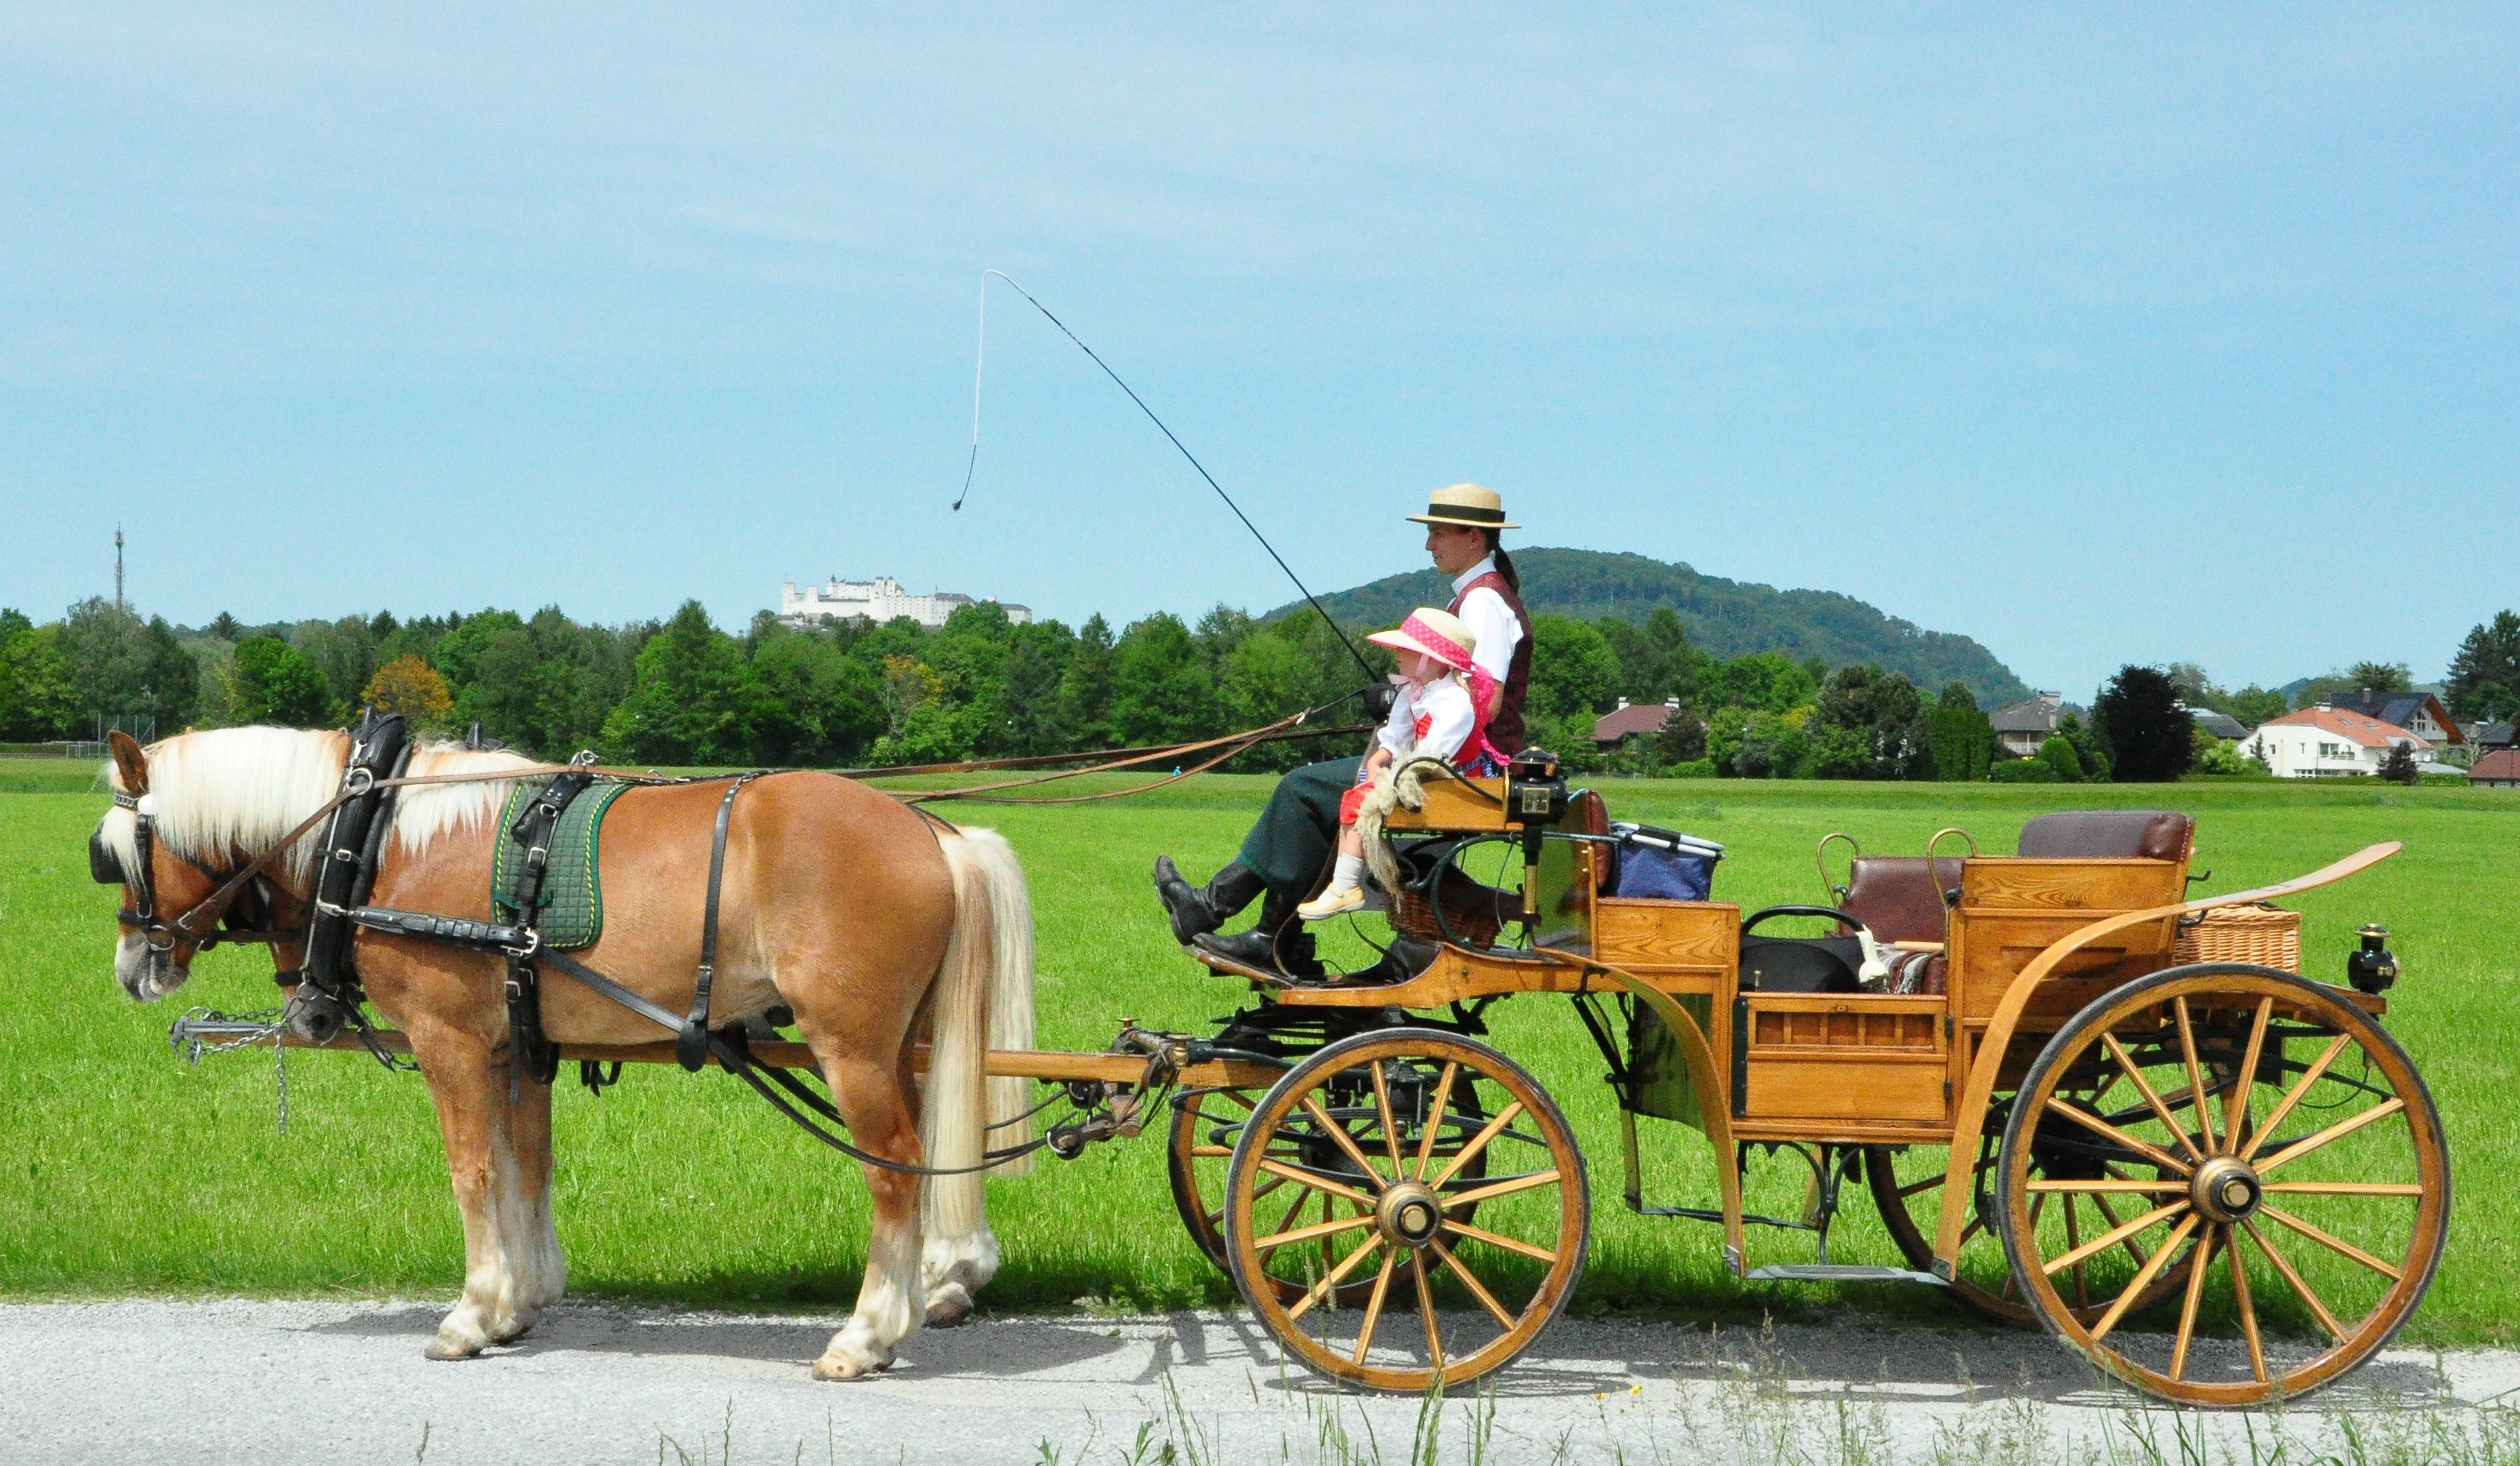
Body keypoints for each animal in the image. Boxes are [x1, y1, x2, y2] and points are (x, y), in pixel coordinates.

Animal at [89, 730, 1033, 1380]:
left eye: (123, 853)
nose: (132, 969)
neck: (383, 837)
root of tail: (932, 831)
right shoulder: (516, 1044)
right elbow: (526, 1165)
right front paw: (522, 1300)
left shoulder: (449, 1041)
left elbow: (473, 1170)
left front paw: (471, 1315)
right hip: (902, 1047)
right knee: (919, 1164)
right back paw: (904, 1318)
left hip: (854, 1052)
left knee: (892, 1170)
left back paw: (864, 1335)